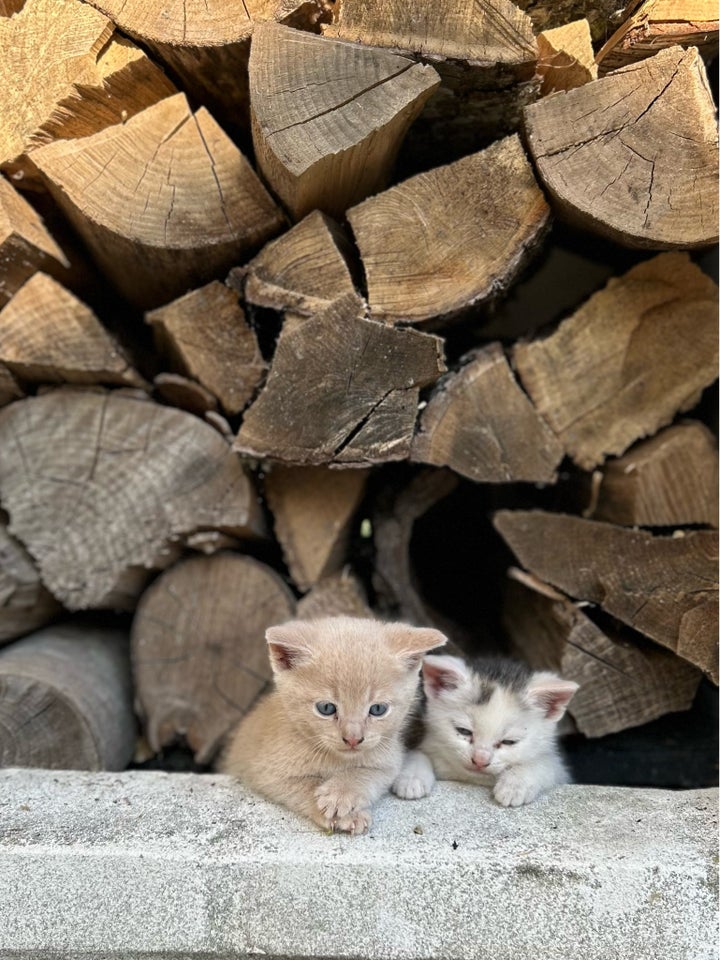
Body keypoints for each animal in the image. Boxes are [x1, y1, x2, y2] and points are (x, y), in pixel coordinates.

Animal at [221, 616, 444, 832]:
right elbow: (305, 786)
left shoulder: (389, 759)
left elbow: (368, 773)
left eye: (378, 709)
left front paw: (342, 793)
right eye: (326, 708)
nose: (353, 738)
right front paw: (341, 811)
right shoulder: (266, 772)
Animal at [390, 656, 576, 808]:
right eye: (463, 731)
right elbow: (417, 753)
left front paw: (515, 785)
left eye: (509, 741)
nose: (480, 760)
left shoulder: (560, 772)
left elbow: (545, 764)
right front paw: (412, 777)